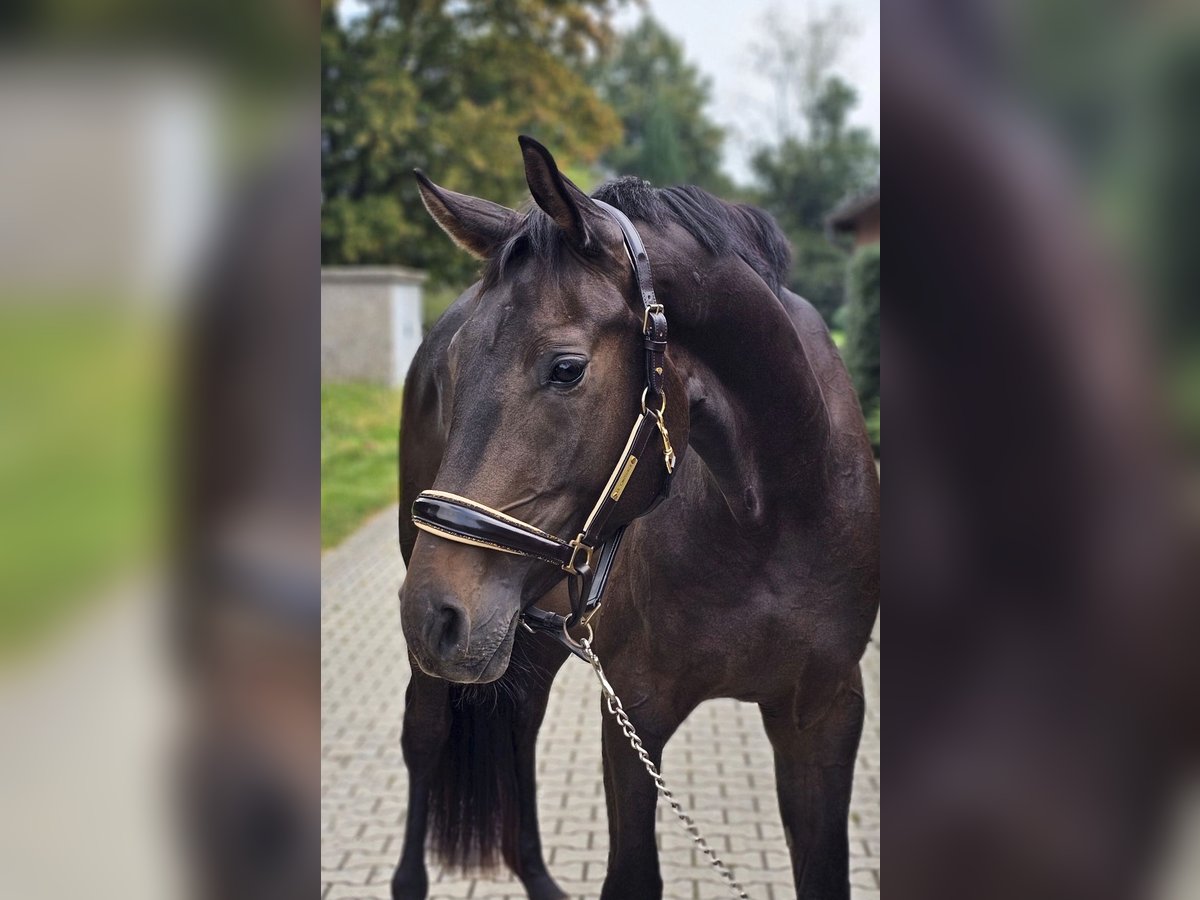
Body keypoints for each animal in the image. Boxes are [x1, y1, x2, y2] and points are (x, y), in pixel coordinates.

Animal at [393, 135, 883, 900]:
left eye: (566, 368)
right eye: (453, 370)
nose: (435, 613)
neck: (770, 515)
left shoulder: (825, 714)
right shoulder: (635, 714)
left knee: (520, 721)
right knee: (424, 734)